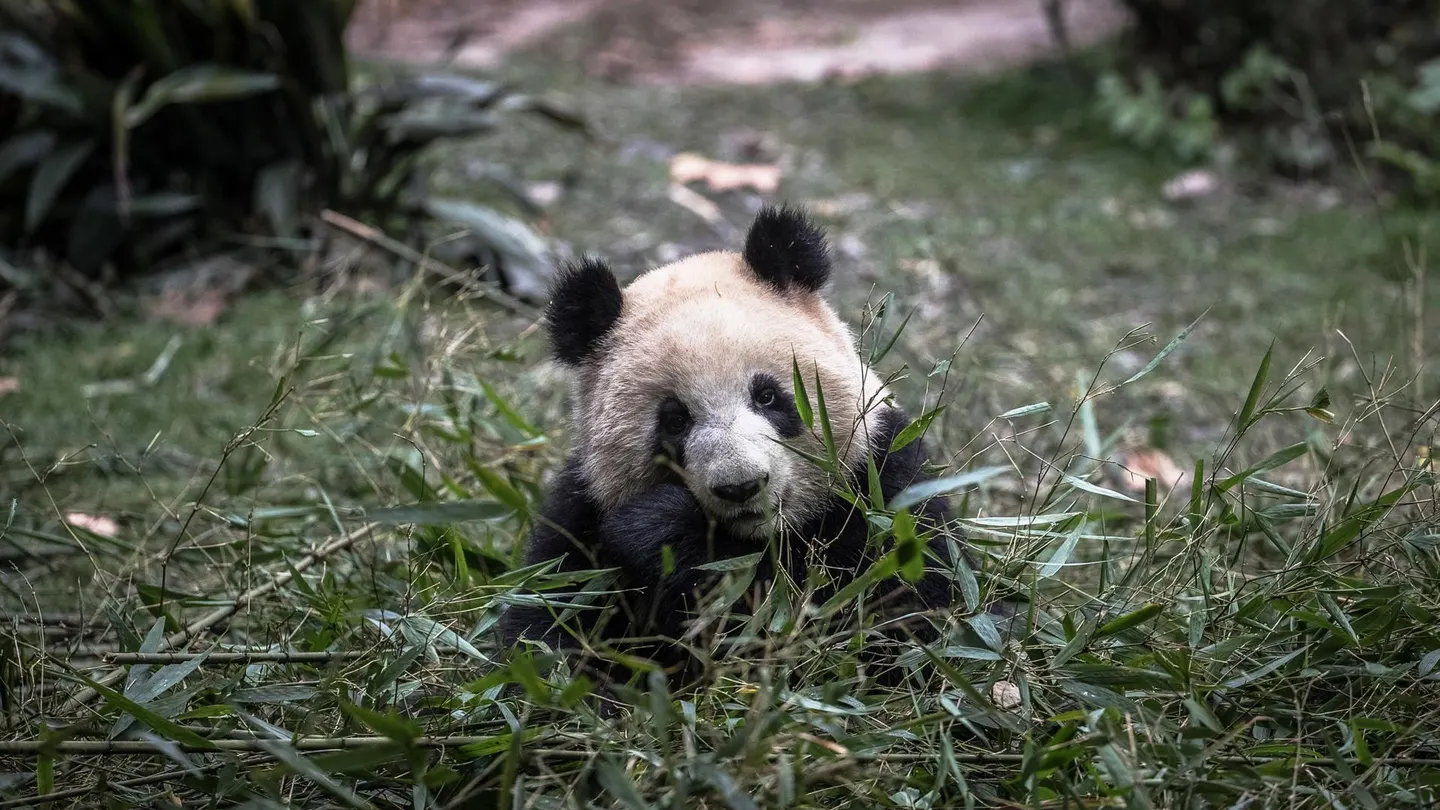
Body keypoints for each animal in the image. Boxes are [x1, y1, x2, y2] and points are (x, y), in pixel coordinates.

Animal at [497, 205, 970, 675]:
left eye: (768, 396)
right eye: (675, 420)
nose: (741, 486)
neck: (756, 539)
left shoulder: (882, 479)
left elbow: (893, 614)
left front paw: (665, 529)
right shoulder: (581, 519)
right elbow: (544, 631)